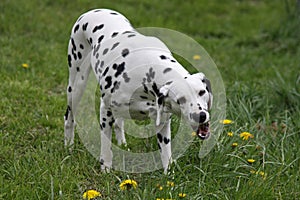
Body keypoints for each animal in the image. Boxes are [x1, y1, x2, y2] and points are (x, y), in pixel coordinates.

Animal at [64, 8, 212, 173]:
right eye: (180, 100)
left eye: (201, 92)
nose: (200, 115)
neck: (147, 72)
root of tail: (95, 11)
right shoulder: (105, 111)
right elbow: (106, 147)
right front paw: (106, 169)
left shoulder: (162, 121)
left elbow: (166, 154)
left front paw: (170, 176)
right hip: (76, 87)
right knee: (69, 117)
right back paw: (68, 146)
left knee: (119, 123)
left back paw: (122, 143)